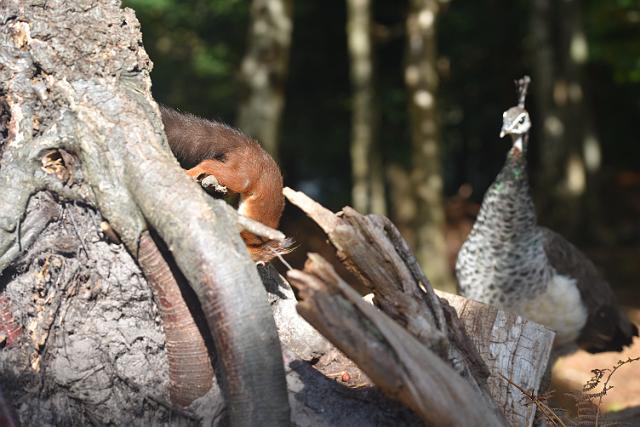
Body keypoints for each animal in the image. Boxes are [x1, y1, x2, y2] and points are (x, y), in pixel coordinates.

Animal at [160, 105, 288, 263]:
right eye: (252, 246)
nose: (257, 262)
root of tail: (251, 148)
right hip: (243, 174)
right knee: (210, 164)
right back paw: (192, 172)